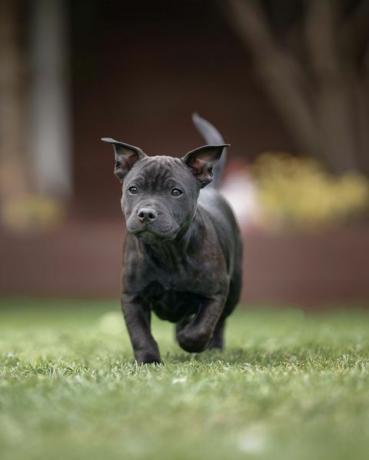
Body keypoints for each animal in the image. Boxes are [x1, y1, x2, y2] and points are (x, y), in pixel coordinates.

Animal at [102, 114, 243, 362]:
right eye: (133, 189)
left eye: (176, 192)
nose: (146, 213)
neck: (168, 251)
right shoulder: (132, 296)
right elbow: (139, 333)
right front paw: (148, 360)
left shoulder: (216, 292)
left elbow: (202, 327)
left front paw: (189, 340)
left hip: (234, 289)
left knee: (219, 323)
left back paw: (213, 347)